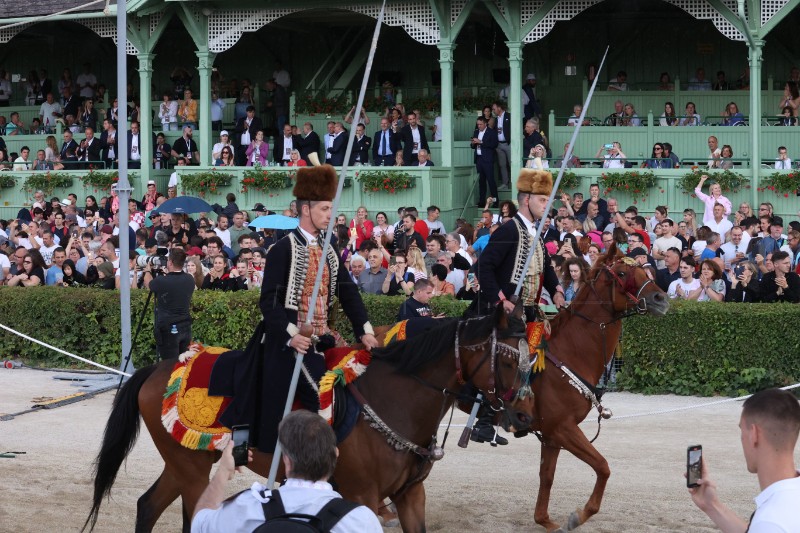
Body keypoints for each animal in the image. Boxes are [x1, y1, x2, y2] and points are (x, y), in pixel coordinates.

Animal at [84, 302, 532, 528]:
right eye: (511, 360)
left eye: (531, 360)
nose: (524, 417)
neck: (393, 402)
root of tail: (158, 368)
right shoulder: (365, 497)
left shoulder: (410, 496)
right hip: (190, 469)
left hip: (185, 463)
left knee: (148, 505)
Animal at [506, 246, 668, 532]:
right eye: (622, 273)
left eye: (643, 269)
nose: (661, 298)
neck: (568, 352)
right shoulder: (563, 428)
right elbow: (603, 466)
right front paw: (581, 514)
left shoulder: (551, 435)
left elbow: (547, 476)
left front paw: (546, 520)